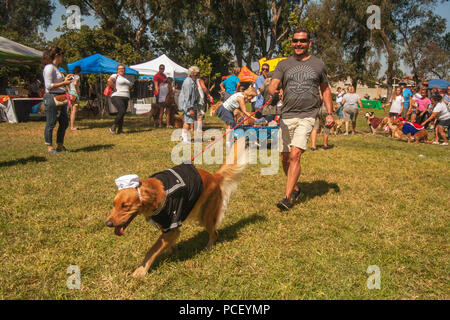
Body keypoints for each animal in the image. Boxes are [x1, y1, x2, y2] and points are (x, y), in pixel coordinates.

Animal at [107, 139, 250, 278]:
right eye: (114, 204)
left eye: (125, 206)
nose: (108, 223)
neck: (156, 194)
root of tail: (214, 176)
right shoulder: (165, 226)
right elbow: (167, 243)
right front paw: (171, 251)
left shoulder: (172, 225)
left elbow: (152, 249)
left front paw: (141, 270)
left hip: (205, 216)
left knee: (214, 233)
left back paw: (208, 248)